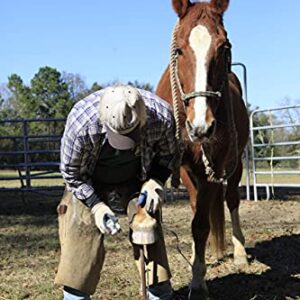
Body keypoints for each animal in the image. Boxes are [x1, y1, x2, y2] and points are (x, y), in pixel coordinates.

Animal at [156, 1, 250, 298]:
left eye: (224, 47)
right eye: (178, 50)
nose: (201, 126)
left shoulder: (216, 166)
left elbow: (201, 224)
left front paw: (198, 283)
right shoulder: (183, 168)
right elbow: (197, 214)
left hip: (235, 165)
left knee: (231, 200)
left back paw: (240, 252)